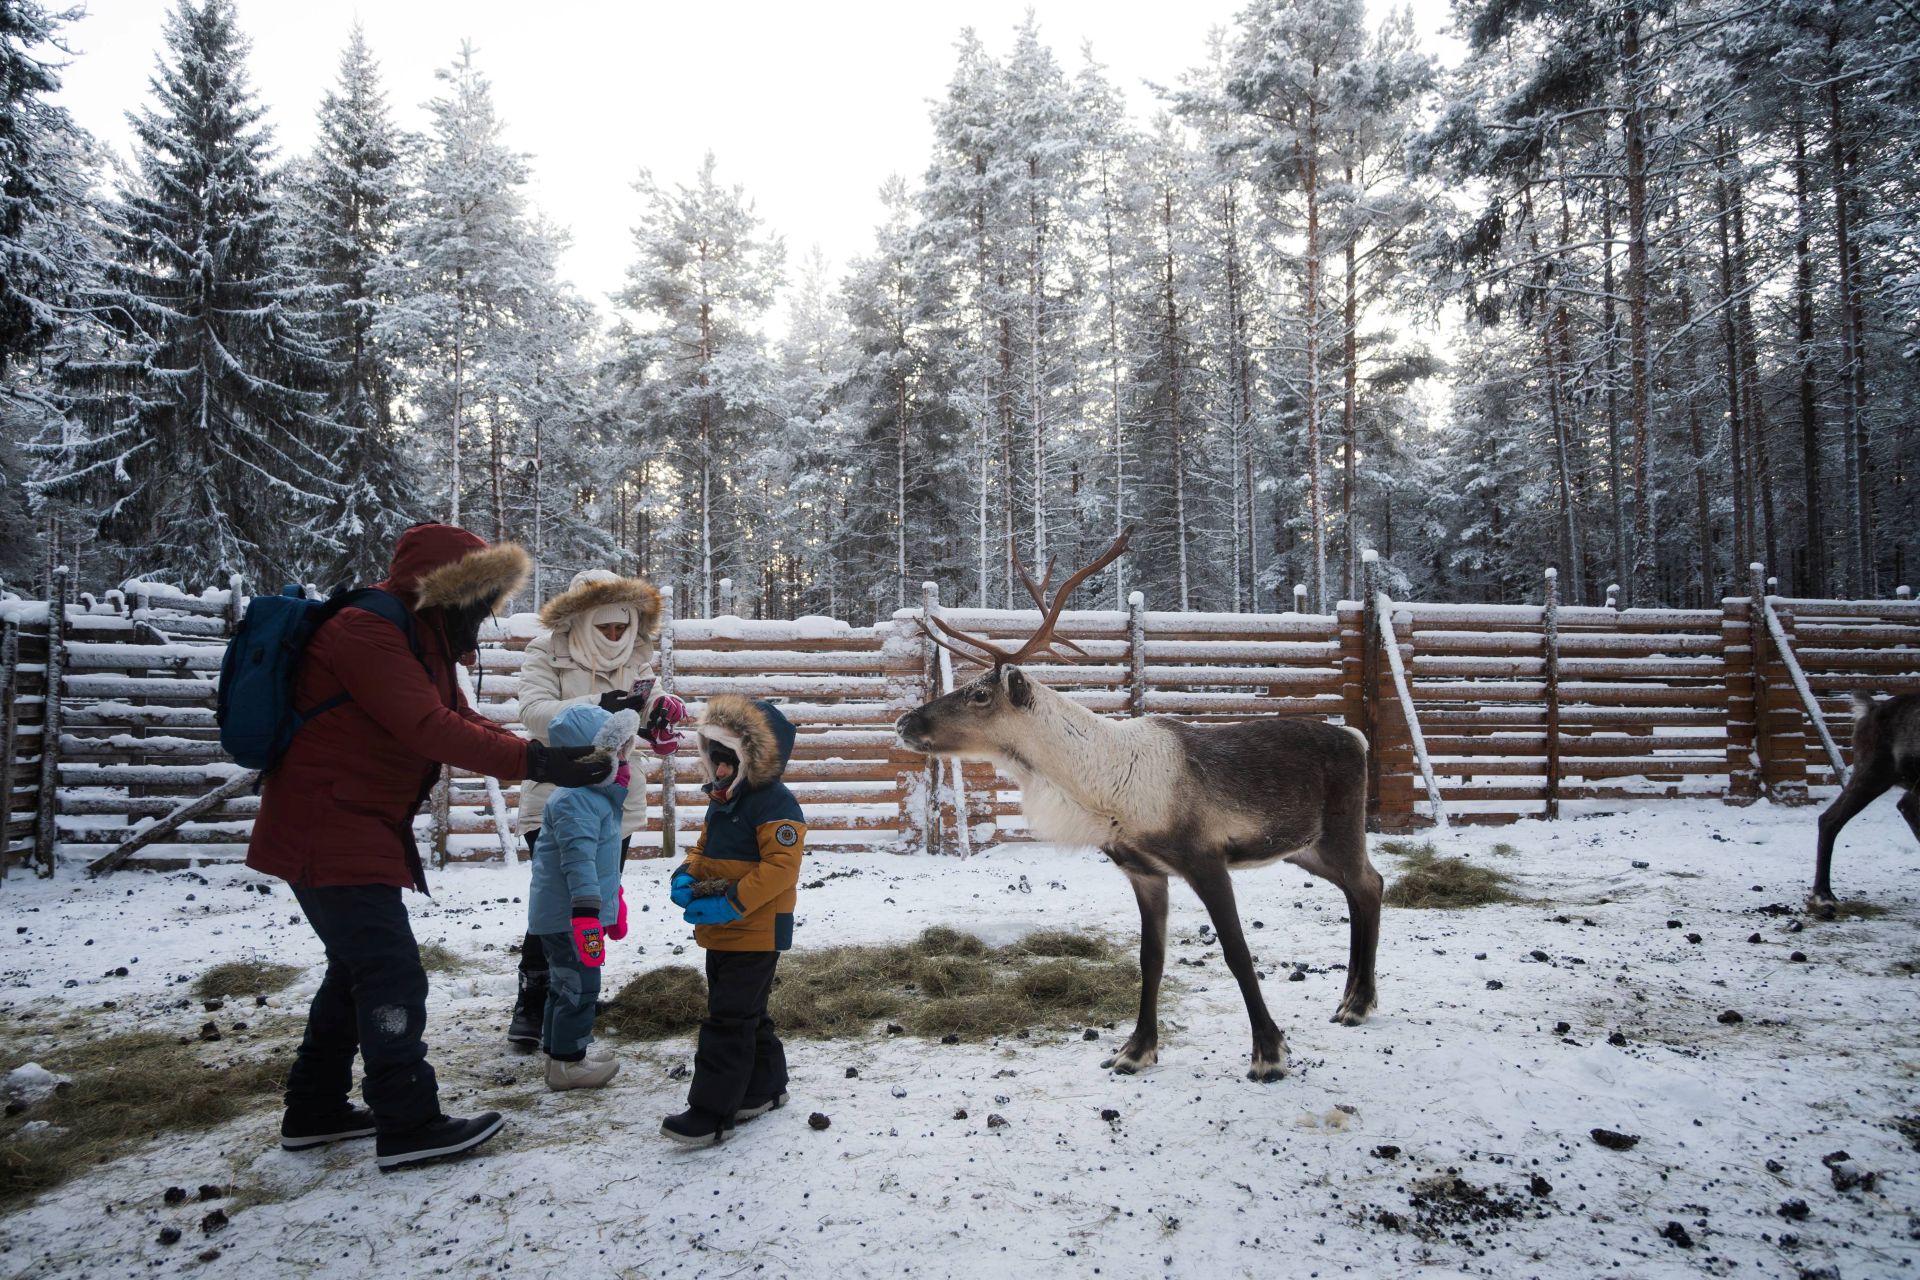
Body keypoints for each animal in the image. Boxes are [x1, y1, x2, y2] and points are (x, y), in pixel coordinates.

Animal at [894, 531, 1381, 1082]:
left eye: (979, 694)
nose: (905, 723)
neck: (1105, 790)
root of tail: (1358, 738)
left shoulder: (1205, 859)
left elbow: (1237, 952)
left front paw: (1269, 1052)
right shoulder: (1143, 871)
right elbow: (1151, 959)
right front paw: (1136, 1049)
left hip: (1340, 833)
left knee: (1369, 885)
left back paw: (1357, 1004)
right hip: (1304, 848)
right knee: (1364, 888)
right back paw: (1351, 1000)